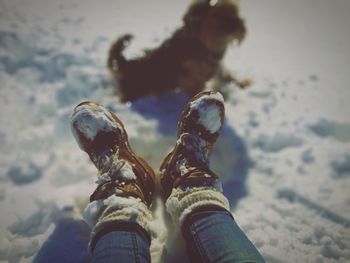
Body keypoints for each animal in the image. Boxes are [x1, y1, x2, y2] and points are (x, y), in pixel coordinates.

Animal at [108, 0, 247, 102]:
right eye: (217, 16)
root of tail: (125, 63)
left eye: (235, 13)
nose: (235, 25)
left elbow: (226, 74)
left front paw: (242, 83)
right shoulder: (190, 77)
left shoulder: (216, 65)